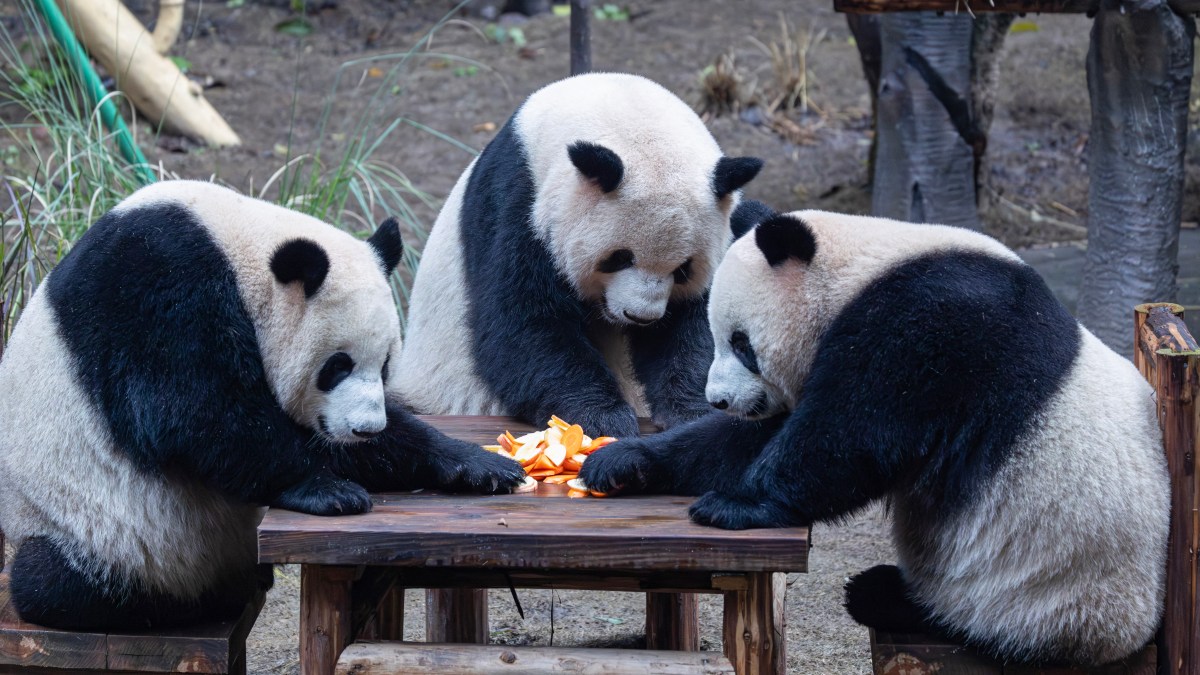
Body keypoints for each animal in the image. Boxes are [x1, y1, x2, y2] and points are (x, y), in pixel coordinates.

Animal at [0, 181, 526, 631]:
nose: (365, 429)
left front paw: (479, 465)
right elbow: (195, 413)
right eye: (337, 366)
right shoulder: (155, 287)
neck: (237, 247)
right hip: (87, 526)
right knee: (57, 583)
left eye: (385, 365)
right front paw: (329, 490)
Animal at [397, 73, 763, 437]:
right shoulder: (516, 203)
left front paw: (689, 409)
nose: (641, 317)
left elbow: (701, 321)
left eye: (684, 269)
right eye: (619, 257)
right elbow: (525, 320)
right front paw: (600, 416)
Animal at [580, 209, 1170, 665]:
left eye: (741, 343)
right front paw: (622, 462)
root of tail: (1137, 635)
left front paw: (736, 505)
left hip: (1045, 595)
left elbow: (851, 435)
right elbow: (745, 441)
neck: (865, 267)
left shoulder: (932, 324)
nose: (721, 400)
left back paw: (880, 594)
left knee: (982, 617)